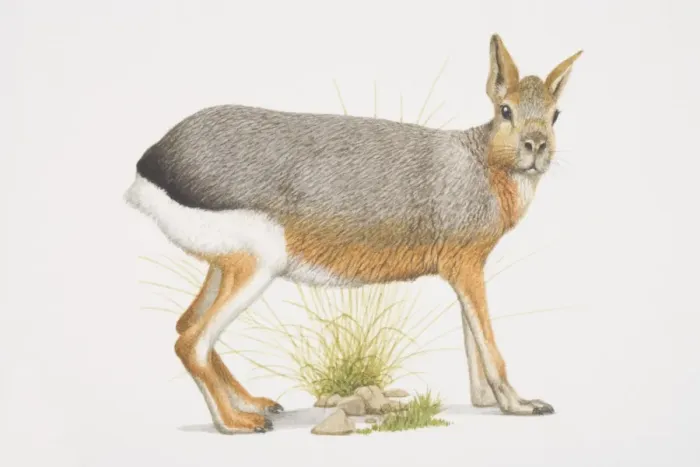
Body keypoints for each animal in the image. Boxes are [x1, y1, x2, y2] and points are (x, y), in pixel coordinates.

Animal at [124, 33, 582, 434]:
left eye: (555, 115)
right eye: (505, 110)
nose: (536, 146)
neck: (483, 163)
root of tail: (152, 164)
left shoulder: (465, 269)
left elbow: (472, 339)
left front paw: (485, 402)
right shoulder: (465, 266)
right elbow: (488, 341)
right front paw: (520, 405)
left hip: (224, 265)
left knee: (186, 325)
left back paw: (255, 404)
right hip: (257, 263)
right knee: (192, 341)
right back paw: (238, 424)